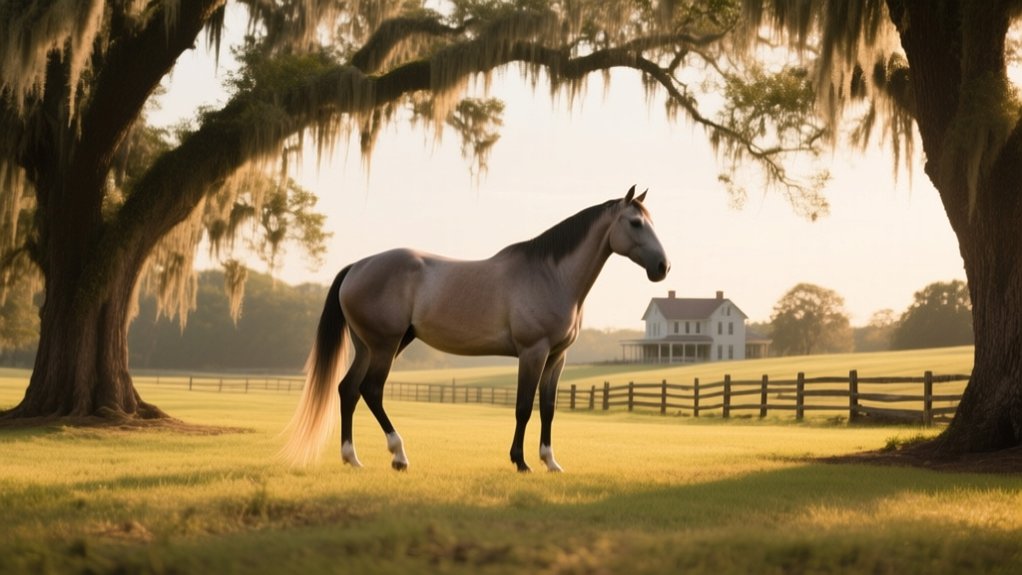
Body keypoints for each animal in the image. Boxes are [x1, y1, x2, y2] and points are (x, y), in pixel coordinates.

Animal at [282, 185, 670, 472]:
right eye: (635, 223)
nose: (662, 267)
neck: (551, 275)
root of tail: (357, 266)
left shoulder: (557, 357)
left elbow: (548, 408)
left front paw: (550, 461)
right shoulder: (533, 352)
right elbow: (523, 406)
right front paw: (521, 462)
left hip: (369, 345)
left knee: (348, 390)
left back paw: (352, 458)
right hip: (385, 344)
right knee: (371, 390)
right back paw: (399, 455)